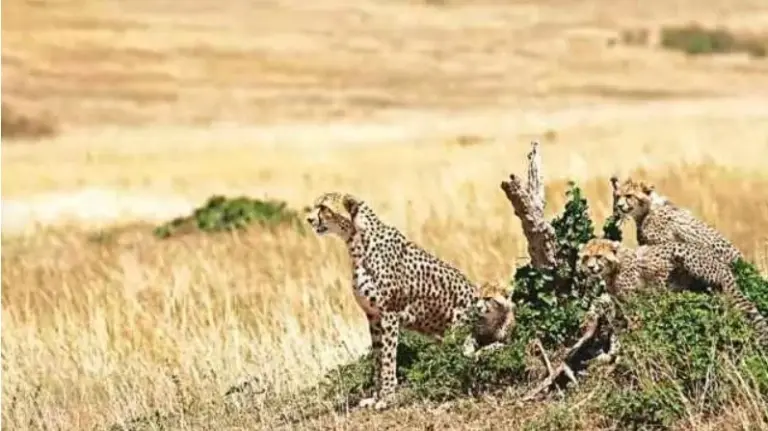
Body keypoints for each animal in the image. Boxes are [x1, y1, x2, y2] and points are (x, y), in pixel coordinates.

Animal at [305, 192, 515, 410]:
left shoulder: (389, 314)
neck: (357, 243)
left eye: (324, 207)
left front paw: (387, 397)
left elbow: (388, 359)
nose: (309, 219)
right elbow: (378, 358)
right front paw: (375, 396)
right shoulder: (373, 316)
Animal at [578, 238, 768, 347]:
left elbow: (635, 318)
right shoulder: (619, 302)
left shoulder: (634, 299)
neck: (614, 268)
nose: (591, 267)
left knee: (715, 285)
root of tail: (723, 264)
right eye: (586, 257)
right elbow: (618, 321)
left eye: (599, 257)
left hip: (683, 252)